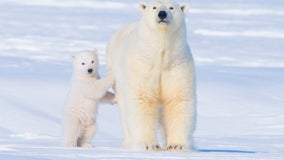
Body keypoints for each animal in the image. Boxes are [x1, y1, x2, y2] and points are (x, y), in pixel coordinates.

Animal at [105, 0, 196, 151]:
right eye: (154, 7)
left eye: (171, 7)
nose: (162, 14)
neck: (160, 57)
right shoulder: (142, 65)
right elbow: (141, 99)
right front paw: (149, 145)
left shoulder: (177, 65)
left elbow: (178, 99)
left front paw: (176, 145)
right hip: (116, 74)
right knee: (124, 111)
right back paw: (128, 143)